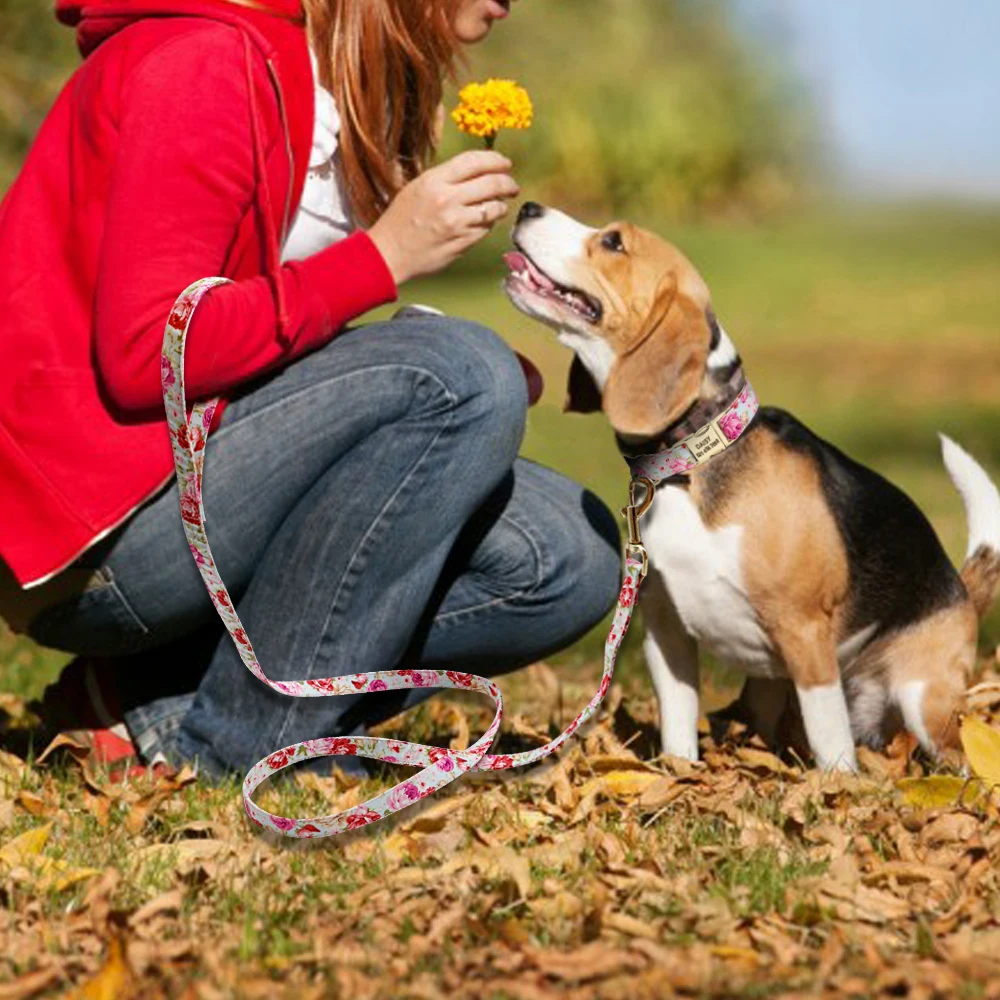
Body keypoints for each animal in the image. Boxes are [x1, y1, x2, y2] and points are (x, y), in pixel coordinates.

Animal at [504, 199, 1000, 768]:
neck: (690, 465)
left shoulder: (806, 636)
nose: (527, 206)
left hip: (925, 700)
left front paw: (835, 785)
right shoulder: (666, 633)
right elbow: (678, 729)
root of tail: (959, 588)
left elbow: (830, 742)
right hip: (768, 688)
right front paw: (678, 776)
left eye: (612, 243)